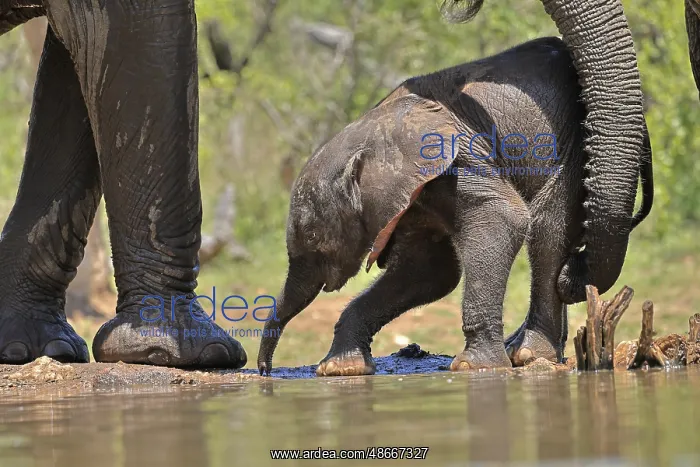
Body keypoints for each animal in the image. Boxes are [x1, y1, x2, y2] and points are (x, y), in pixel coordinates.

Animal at [256, 36, 654, 376]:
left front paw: (474, 367)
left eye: (313, 238)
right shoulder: (411, 199)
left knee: (547, 229)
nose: (265, 371)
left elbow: (502, 220)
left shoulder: (459, 159)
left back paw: (529, 355)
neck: (371, 132)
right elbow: (427, 271)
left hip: (572, 138)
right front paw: (342, 369)